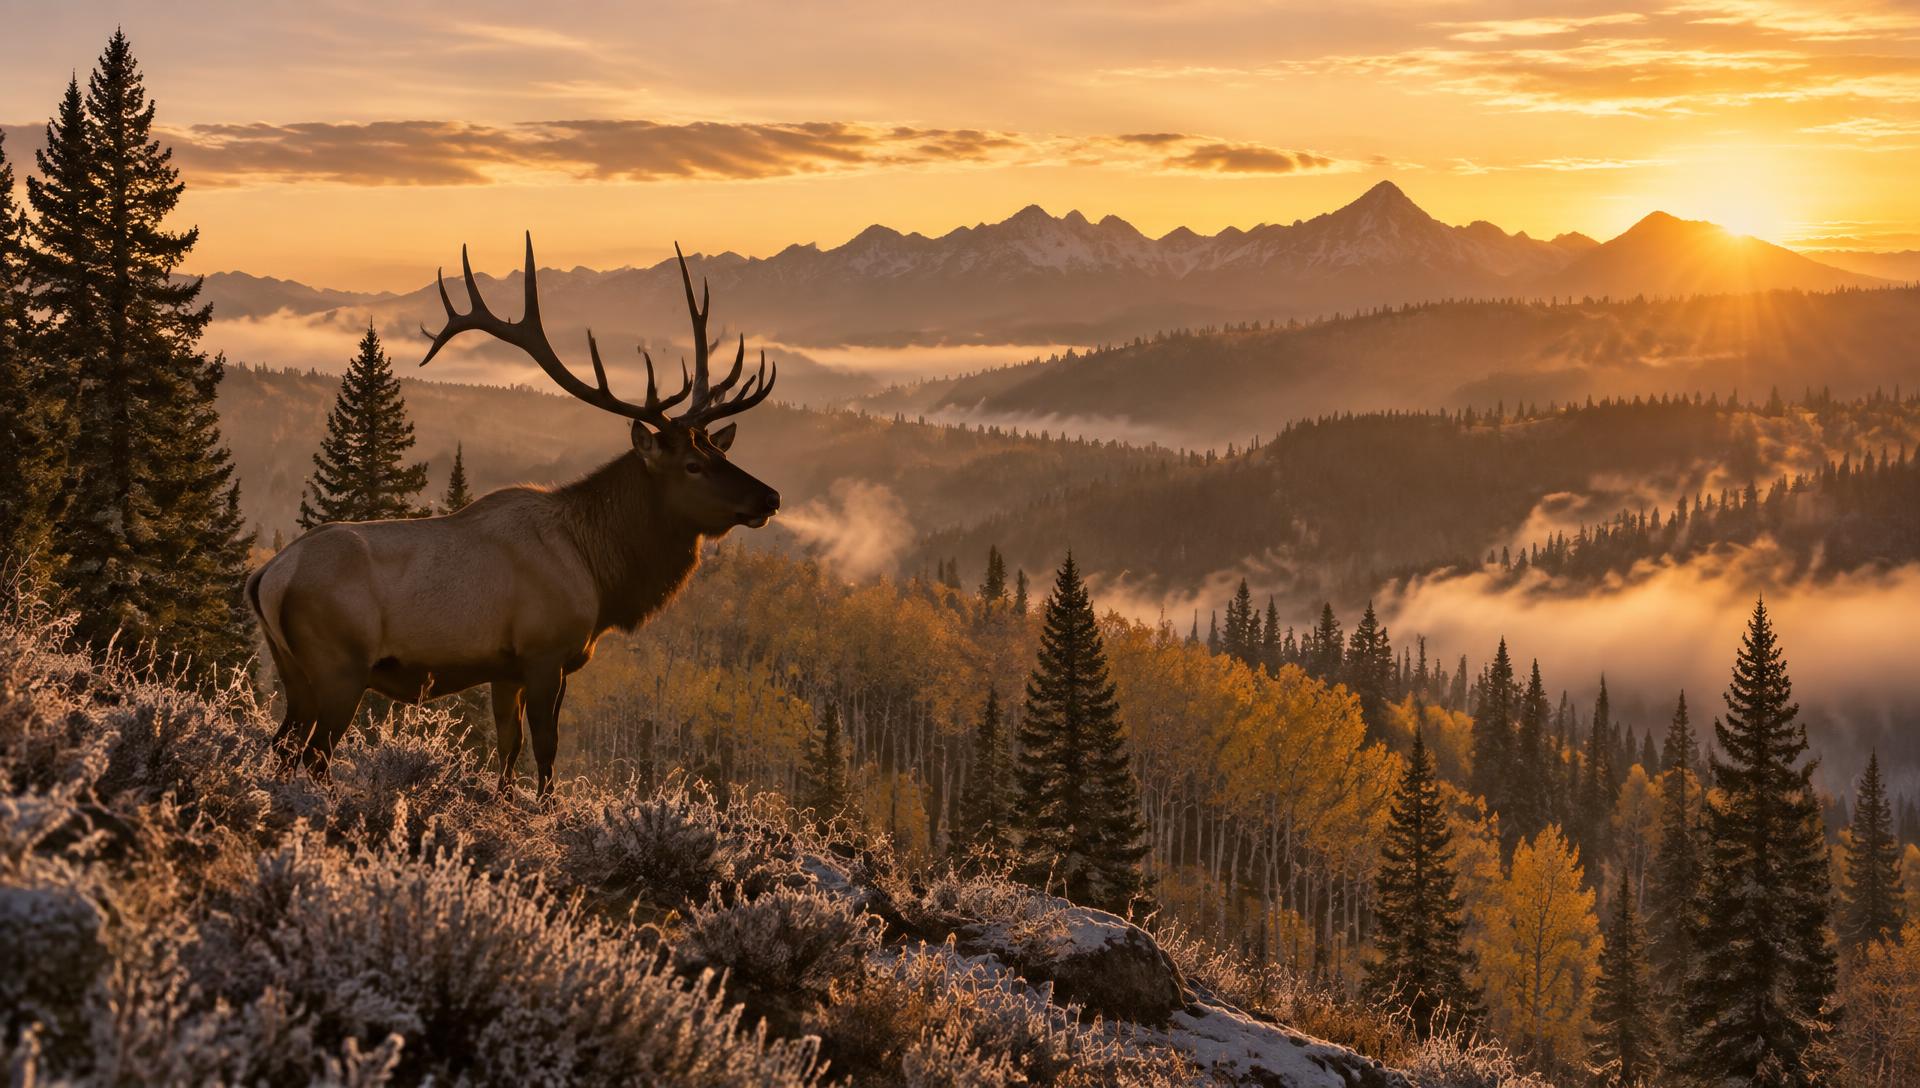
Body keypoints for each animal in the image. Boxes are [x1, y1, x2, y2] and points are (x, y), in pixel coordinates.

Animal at [247, 235, 780, 798]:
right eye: (693, 465)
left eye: (720, 451)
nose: (769, 498)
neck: (599, 571)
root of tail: (267, 576)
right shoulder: (547, 653)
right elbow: (545, 748)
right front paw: (545, 806)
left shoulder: (504, 668)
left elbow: (507, 747)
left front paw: (505, 800)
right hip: (339, 667)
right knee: (313, 756)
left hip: (293, 672)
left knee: (283, 746)